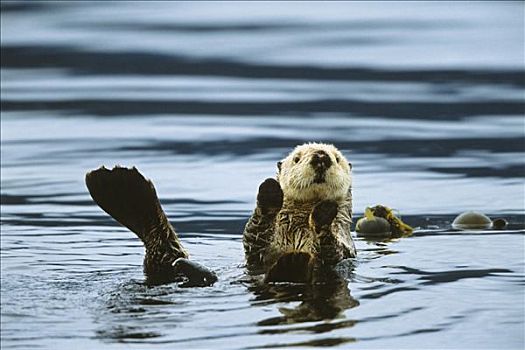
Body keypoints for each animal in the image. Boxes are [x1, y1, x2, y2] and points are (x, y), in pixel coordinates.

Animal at [244, 144, 354, 284]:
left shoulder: (344, 245)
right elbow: (255, 236)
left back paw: (295, 263)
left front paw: (325, 210)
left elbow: (332, 251)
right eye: (296, 159)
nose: (321, 156)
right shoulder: (257, 252)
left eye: (337, 158)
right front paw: (270, 190)